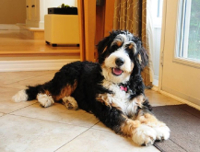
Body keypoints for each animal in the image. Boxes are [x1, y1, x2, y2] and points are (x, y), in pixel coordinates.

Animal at [12, 30, 170, 145]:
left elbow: (148, 115)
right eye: (114, 47)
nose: (119, 60)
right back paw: (45, 99)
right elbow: (126, 121)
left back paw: (70, 102)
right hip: (69, 78)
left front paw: (159, 128)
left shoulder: (139, 101)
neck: (119, 83)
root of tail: (70, 63)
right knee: (46, 89)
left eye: (131, 51)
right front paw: (144, 132)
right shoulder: (107, 107)